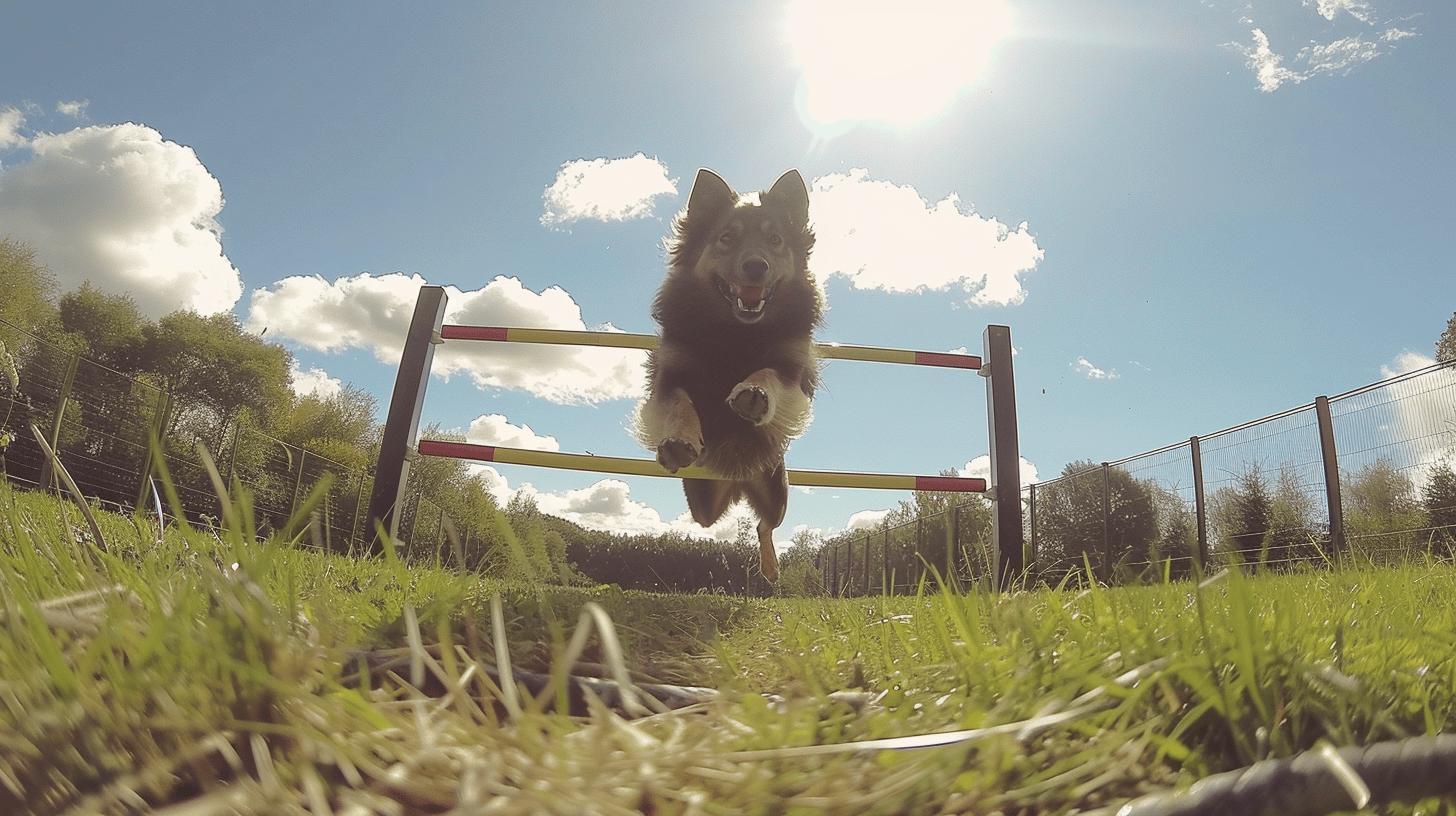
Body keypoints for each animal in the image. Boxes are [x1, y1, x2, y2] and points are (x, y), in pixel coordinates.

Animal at [634, 169, 827, 582]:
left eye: (775, 240)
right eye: (727, 238)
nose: (756, 266)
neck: (735, 329)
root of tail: (737, 482)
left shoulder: (792, 373)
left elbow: (769, 373)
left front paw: (753, 393)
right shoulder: (669, 376)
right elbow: (679, 402)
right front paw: (678, 439)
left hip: (777, 490)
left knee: (765, 524)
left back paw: (770, 567)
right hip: (702, 503)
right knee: (718, 519)